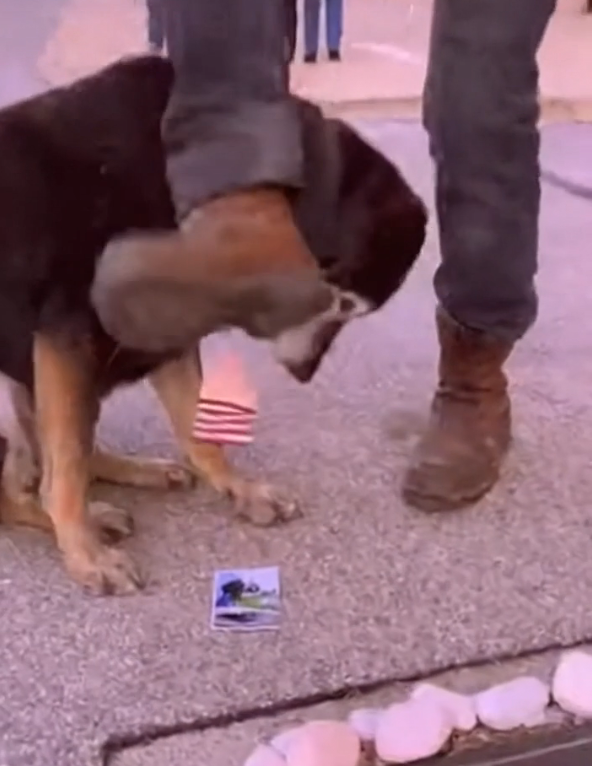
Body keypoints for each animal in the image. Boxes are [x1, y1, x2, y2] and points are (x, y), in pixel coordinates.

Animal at [0, 54, 427, 595]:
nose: (305, 373)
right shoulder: (66, 337)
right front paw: (84, 552)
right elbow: (69, 463)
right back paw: (88, 517)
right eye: (339, 303)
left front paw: (240, 488)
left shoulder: (159, 341)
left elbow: (196, 429)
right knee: (22, 487)